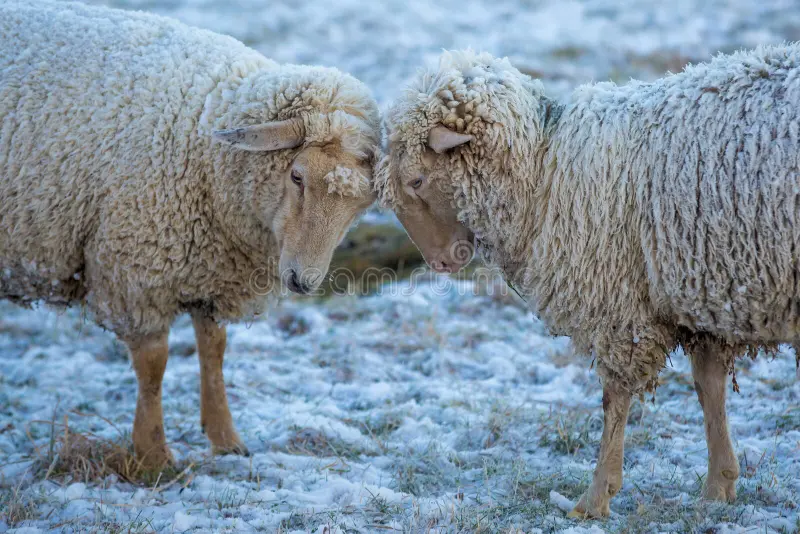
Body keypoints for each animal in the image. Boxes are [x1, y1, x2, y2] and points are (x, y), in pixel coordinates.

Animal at [0, 0, 380, 470]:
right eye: (297, 176)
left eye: (361, 204)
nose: (302, 281)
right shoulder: (136, 272)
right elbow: (154, 365)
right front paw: (153, 456)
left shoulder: (212, 273)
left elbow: (214, 351)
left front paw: (225, 439)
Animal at [376, 46, 800, 517]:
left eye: (417, 179)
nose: (441, 262)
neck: (544, 170)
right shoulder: (702, 292)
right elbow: (709, 387)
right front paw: (718, 486)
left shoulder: (619, 305)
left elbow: (615, 398)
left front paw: (595, 498)